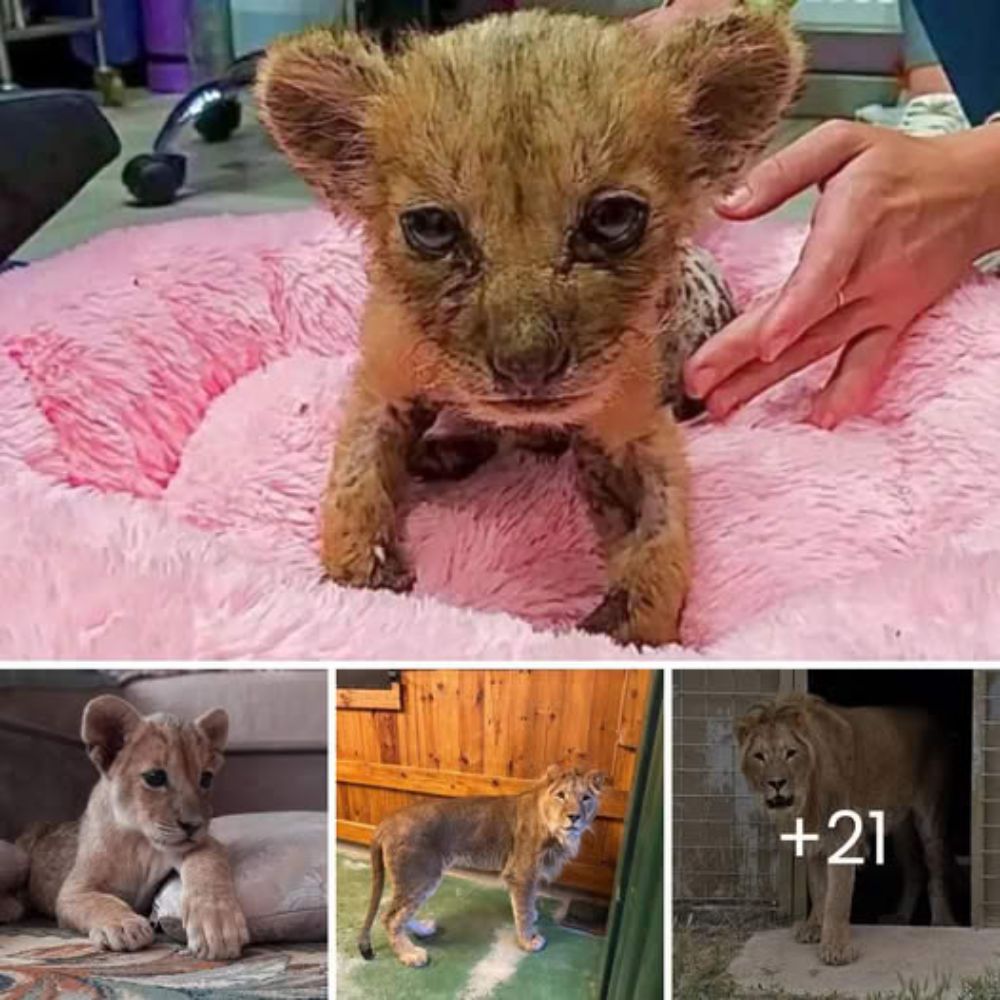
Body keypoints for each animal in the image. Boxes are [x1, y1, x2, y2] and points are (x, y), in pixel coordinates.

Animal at [16, 696, 249, 960]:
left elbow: (206, 862)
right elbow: (99, 901)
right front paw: (123, 926)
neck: (140, 843)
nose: (193, 825)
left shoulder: (200, 844)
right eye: (155, 777)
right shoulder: (73, 891)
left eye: (206, 779)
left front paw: (218, 925)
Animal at [258, 7, 804, 648]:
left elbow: (662, 532)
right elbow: (354, 472)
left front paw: (628, 628)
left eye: (612, 217)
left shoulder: (633, 418)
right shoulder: (385, 378)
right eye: (432, 227)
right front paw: (361, 569)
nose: (527, 367)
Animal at [360, 764, 608, 960]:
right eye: (561, 795)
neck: (557, 831)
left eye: (586, 798)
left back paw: (423, 930)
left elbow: (528, 903)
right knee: (390, 918)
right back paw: (410, 955)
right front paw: (528, 941)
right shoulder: (521, 873)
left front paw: (533, 916)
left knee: (400, 913)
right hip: (420, 876)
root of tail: (386, 822)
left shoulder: (528, 874)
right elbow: (523, 910)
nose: (574, 817)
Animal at [736, 692, 952, 964]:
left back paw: (942, 921)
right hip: (900, 827)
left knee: (936, 870)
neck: (806, 799)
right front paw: (814, 928)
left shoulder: (842, 836)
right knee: (915, 870)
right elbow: (819, 890)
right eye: (759, 756)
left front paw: (836, 948)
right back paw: (900, 917)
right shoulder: (814, 840)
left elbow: (836, 897)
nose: (776, 783)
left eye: (790, 753)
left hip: (930, 815)